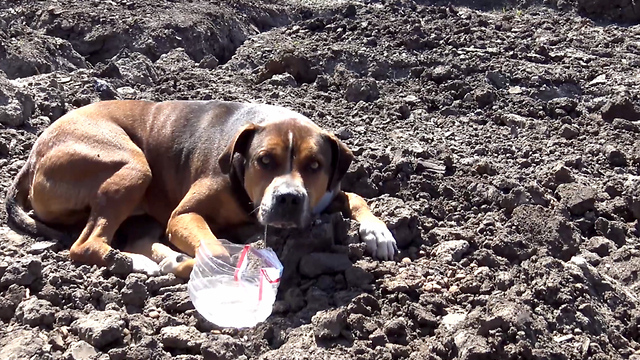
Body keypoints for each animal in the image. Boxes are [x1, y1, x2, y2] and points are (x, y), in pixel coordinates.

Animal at [3, 100, 396, 278]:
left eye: (315, 166)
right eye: (264, 160)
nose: (287, 198)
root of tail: (32, 155)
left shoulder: (326, 193)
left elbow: (356, 195)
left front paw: (379, 232)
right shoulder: (184, 214)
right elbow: (217, 250)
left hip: (141, 205)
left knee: (136, 236)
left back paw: (164, 258)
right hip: (133, 166)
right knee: (86, 245)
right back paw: (148, 264)